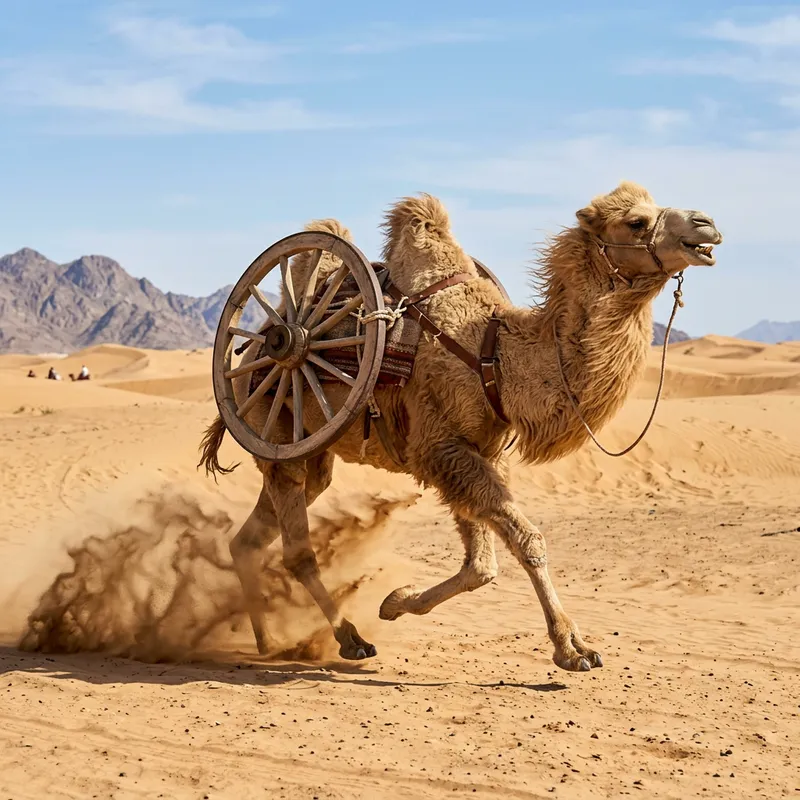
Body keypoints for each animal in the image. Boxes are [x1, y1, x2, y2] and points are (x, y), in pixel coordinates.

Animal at [200, 181, 722, 672]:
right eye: (636, 222)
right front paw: (571, 649)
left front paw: (395, 602)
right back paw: (348, 638)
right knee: (296, 549)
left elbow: (481, 566)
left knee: (252, 537)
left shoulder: (478, 452)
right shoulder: (442, 447)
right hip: (277, 429)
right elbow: (526, 540)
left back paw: (267, 640)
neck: (496, 354)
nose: (707, 225)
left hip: (310, 450)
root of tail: (255, 348)